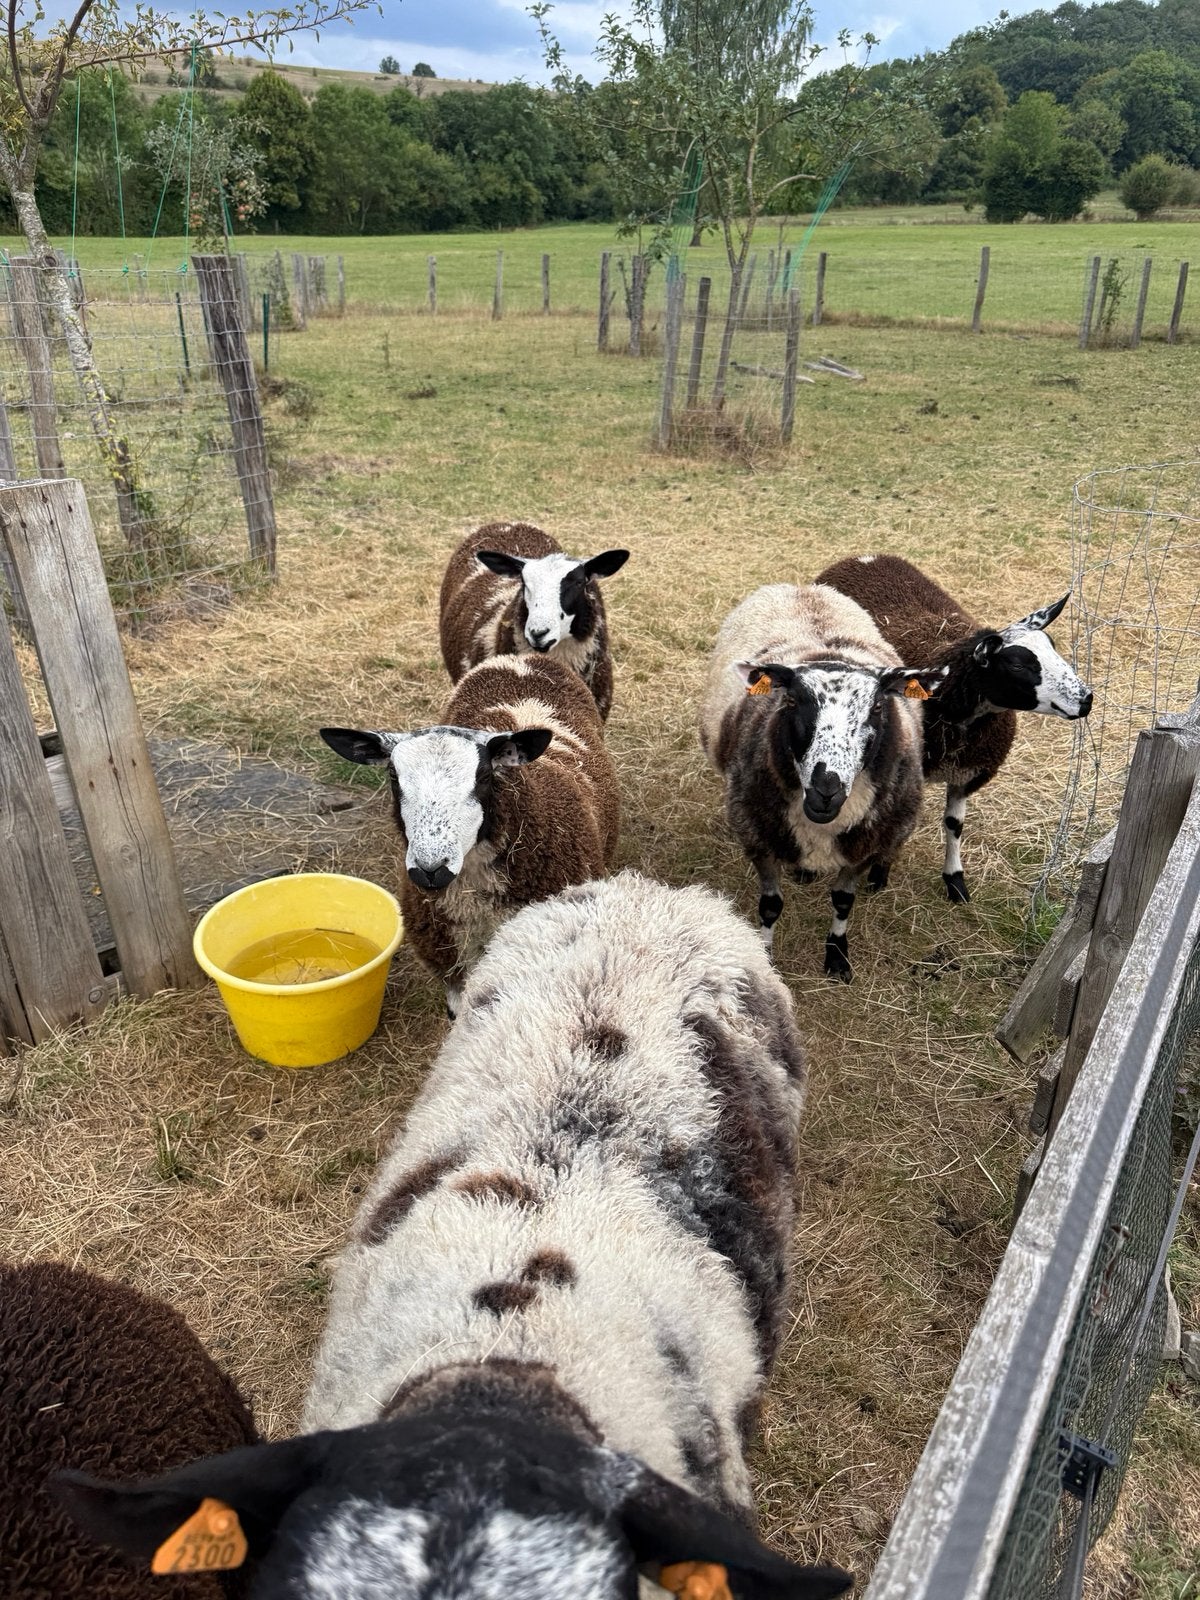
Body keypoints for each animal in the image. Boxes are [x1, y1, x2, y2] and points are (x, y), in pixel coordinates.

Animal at [700, 582, 946, 981]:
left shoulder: (863, 842)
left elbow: (844, 900)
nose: (825, 790)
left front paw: (837, 956)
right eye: (792, 701)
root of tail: (803, 587)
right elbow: (770, 904)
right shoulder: (758, 834)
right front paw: (767, 954)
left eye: (878, 707)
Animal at [815, 555, 1093, 904]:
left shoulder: (968, 773)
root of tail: (862, 557)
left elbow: (954, 824)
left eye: (1053, 647)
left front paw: (955, 880)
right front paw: (880, 871)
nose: (1086, 699)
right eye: (1018, 664)